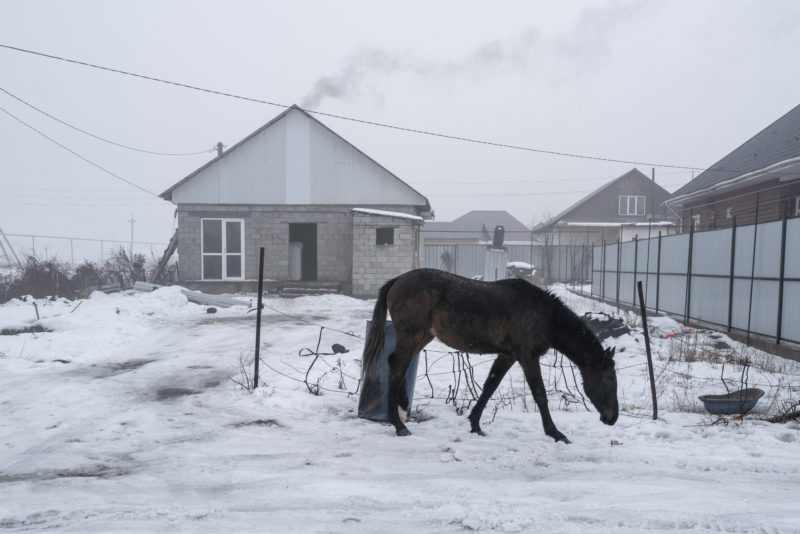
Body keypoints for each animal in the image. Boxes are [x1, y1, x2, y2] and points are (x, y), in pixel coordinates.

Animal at [362, 268, 618, 442]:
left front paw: (475, 425)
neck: (544, 315)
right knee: (396, 369)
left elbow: (489, 387)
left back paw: (403, 410)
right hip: (412, 336)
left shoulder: (507, 356)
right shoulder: (527, 357)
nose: (612, 418)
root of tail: (397, 281)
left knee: (397, 366)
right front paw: (555, 433)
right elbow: (540, 395)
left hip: (422, 337)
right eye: (609, 382)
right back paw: (398, 425)